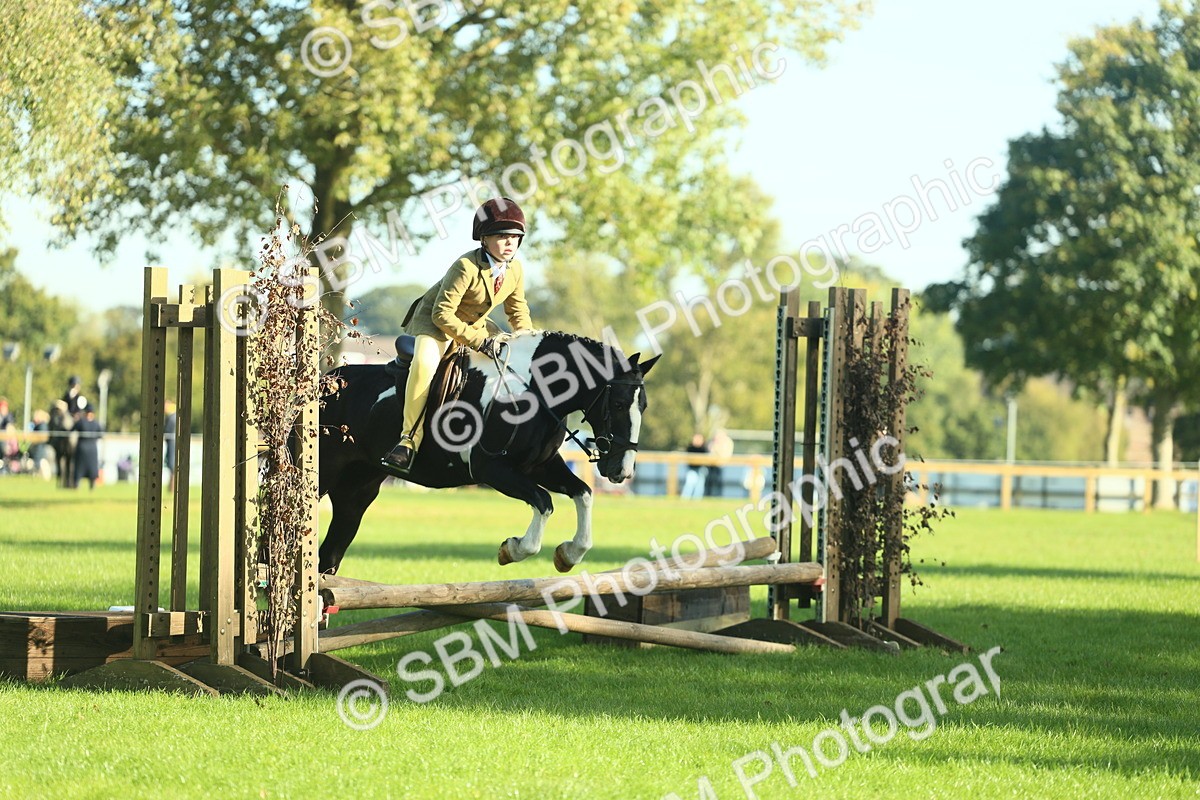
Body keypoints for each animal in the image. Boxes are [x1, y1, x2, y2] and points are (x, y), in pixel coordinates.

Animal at [316, 329, 659, 576]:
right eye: (617, 404)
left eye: (643, 406)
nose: (622, 471)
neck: (534, 390)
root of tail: (323, 384)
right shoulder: (491, 469)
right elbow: (544, 503)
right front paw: (512, 549)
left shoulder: (542, 466)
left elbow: (583, 494)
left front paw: (568, 554)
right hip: (325, 475)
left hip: (357, 490)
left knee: (329, 555)